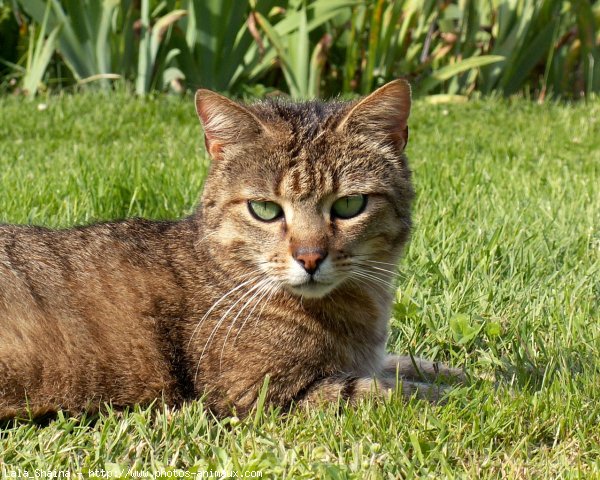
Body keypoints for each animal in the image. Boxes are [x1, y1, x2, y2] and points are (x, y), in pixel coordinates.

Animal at [0, 79, 464, 420]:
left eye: (349, 205)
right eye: (265, 210)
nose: (310, 257)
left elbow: (406, 363)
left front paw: (462, 372)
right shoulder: (259, 394)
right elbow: (400, 392)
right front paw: (470, 394)